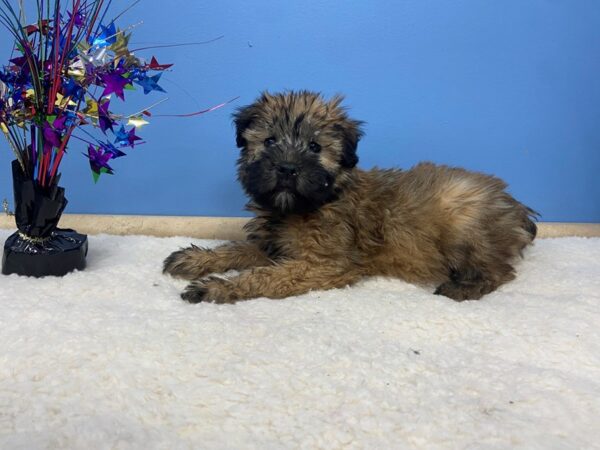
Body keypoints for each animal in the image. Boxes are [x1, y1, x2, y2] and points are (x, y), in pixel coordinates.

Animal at [162, 90, 536, 304]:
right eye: (269, 141)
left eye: (315, 147)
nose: (287, 168)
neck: (311, 204)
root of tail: (518, 210)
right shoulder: (273, 244)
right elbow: (236, 249)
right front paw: (197, 259)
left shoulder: (325, 264)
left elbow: (266, 276)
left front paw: (216, 288)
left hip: (462, 221)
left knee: (501, 272)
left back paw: (463, 288)